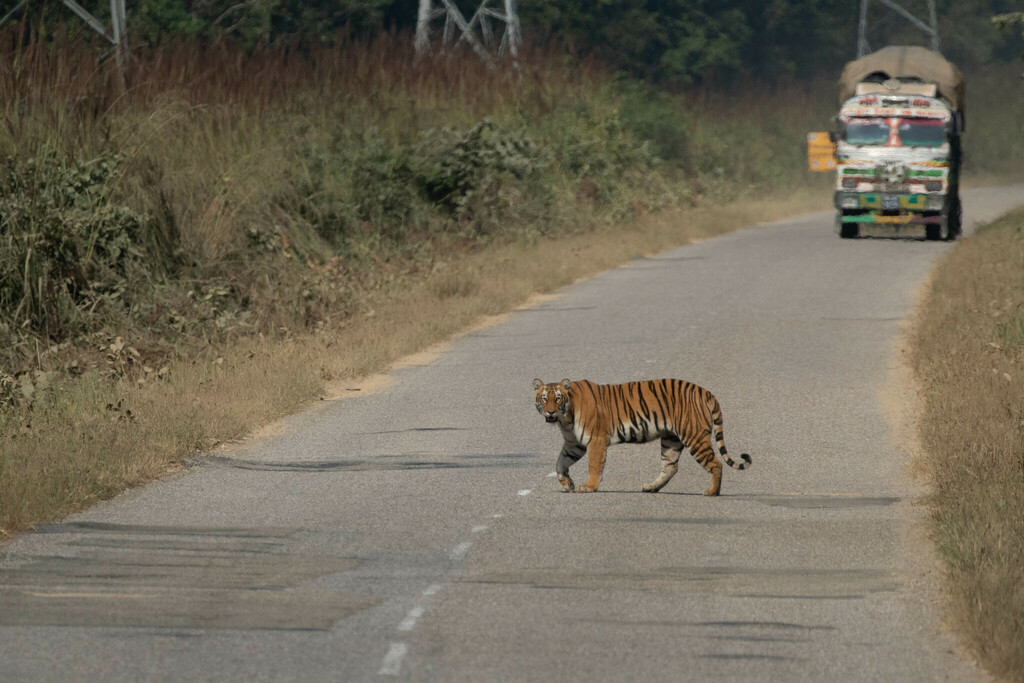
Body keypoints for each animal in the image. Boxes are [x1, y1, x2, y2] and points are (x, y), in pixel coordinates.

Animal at [533, 378, 751, 495]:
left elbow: (594, 466)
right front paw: (567, 484)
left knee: (716, 463)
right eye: (544, 399)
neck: (565, 418)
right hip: (671, 439)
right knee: (670, 467)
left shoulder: (595, 441)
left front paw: (589, 487)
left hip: (694, 436)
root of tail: (704, 391)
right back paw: (651, 487)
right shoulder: (573, 444)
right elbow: (560, 464)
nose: (550, 412)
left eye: (557, 399)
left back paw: (712, 492)